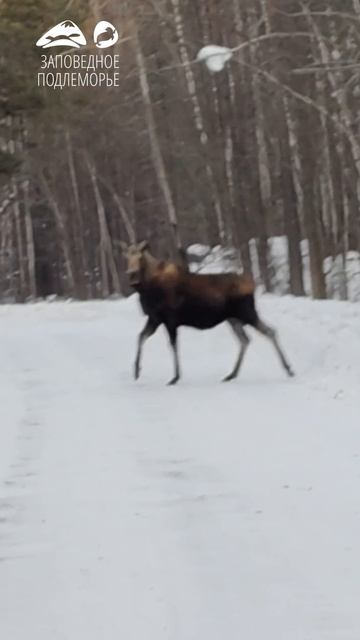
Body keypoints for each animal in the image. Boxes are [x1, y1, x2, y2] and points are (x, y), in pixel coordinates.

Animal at [121, 241, 296, 384]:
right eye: (127, 257)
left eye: (140, 257)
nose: (132, 275)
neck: (147, 289)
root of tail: (251, 284)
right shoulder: (155, 318)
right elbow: (141, 337)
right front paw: (136, 371)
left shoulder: (169, 320)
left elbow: (173, 345)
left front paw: (176, 377)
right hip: (233, 318)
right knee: (245, 339)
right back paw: (232, 374)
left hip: (246, 313)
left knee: (269, 331)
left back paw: (288, 368)